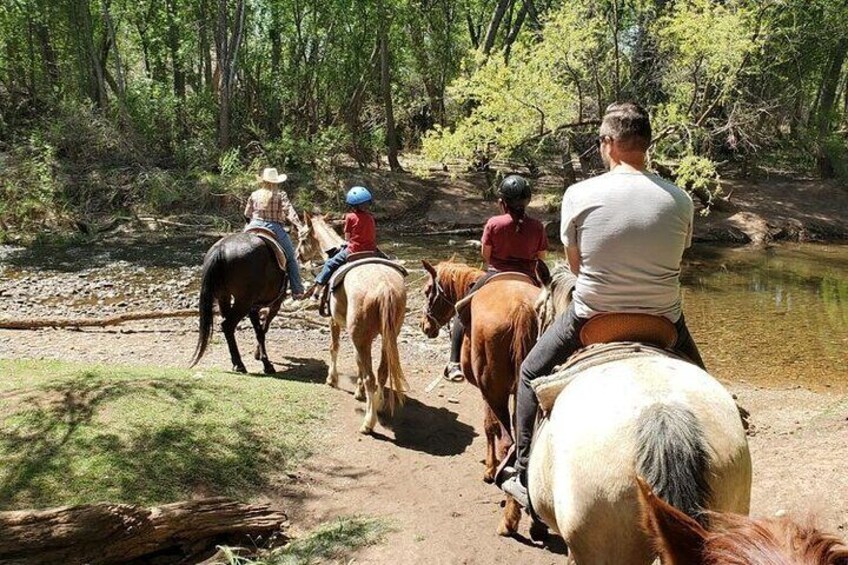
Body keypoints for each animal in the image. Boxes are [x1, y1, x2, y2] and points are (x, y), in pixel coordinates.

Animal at [190, 229, 288, 374]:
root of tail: (221, 248)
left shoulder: (254, 308)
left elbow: (259, 330)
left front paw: (260, 357)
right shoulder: (274, 305)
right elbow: (263, 329)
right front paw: (265, 362)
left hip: (224, 297)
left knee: (228, 328)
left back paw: (236, 363)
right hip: (243, 302)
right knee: (227, 325)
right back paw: (240, 365)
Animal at [298, 212, 408, 432]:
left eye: (303, 238)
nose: (298, 256)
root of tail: (384, 287)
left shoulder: (334, 322)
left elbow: (334, 348)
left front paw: (332, 379)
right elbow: (359, 362)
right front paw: (359, 392)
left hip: (361, 336)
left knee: (371, 377)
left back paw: (368, 422)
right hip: (388, 336)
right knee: (381, 373)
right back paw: (379, 406)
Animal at [420, 258, 544, 536]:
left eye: (427, 290)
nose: (425, 326)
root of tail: (521, 308)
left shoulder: (485, 390)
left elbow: (489, 426)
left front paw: (489, 469)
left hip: (494, 389)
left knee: (509, 442)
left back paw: (510, 519)